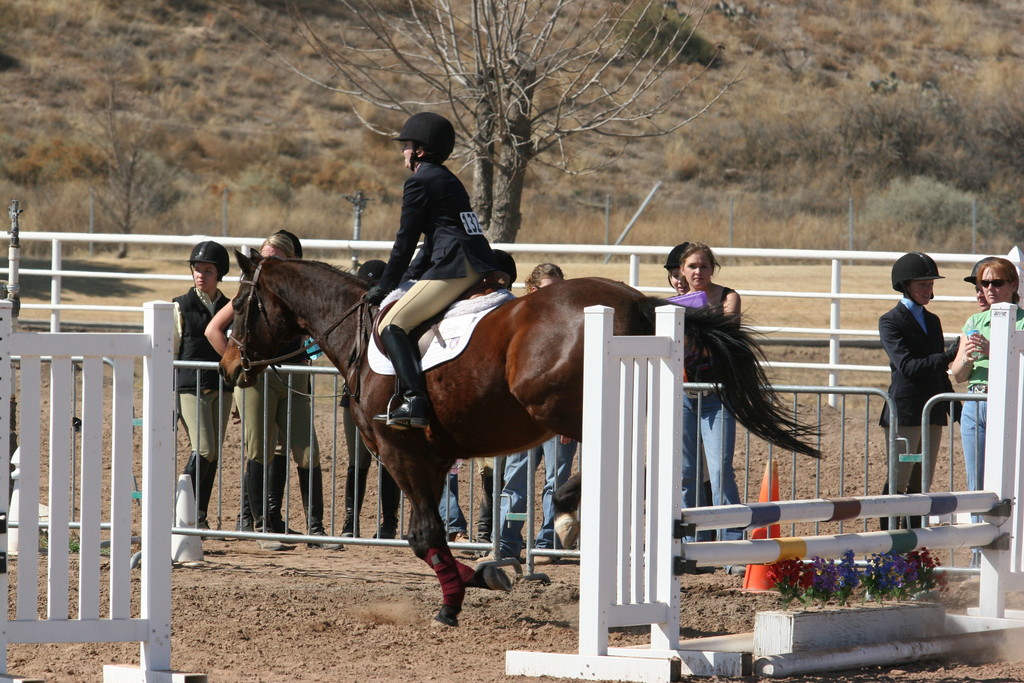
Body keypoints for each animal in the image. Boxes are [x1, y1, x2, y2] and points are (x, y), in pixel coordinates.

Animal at [220, 250, 819, 626]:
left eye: (241, 305)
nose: (227, 366)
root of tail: (640, 301)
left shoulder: (399, 451)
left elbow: (423, 536)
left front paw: (454, 602)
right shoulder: (433, 458)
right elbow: (431, 536)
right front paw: (486, 574)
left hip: (555, 402)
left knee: (618, 455)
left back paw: (569, 514)